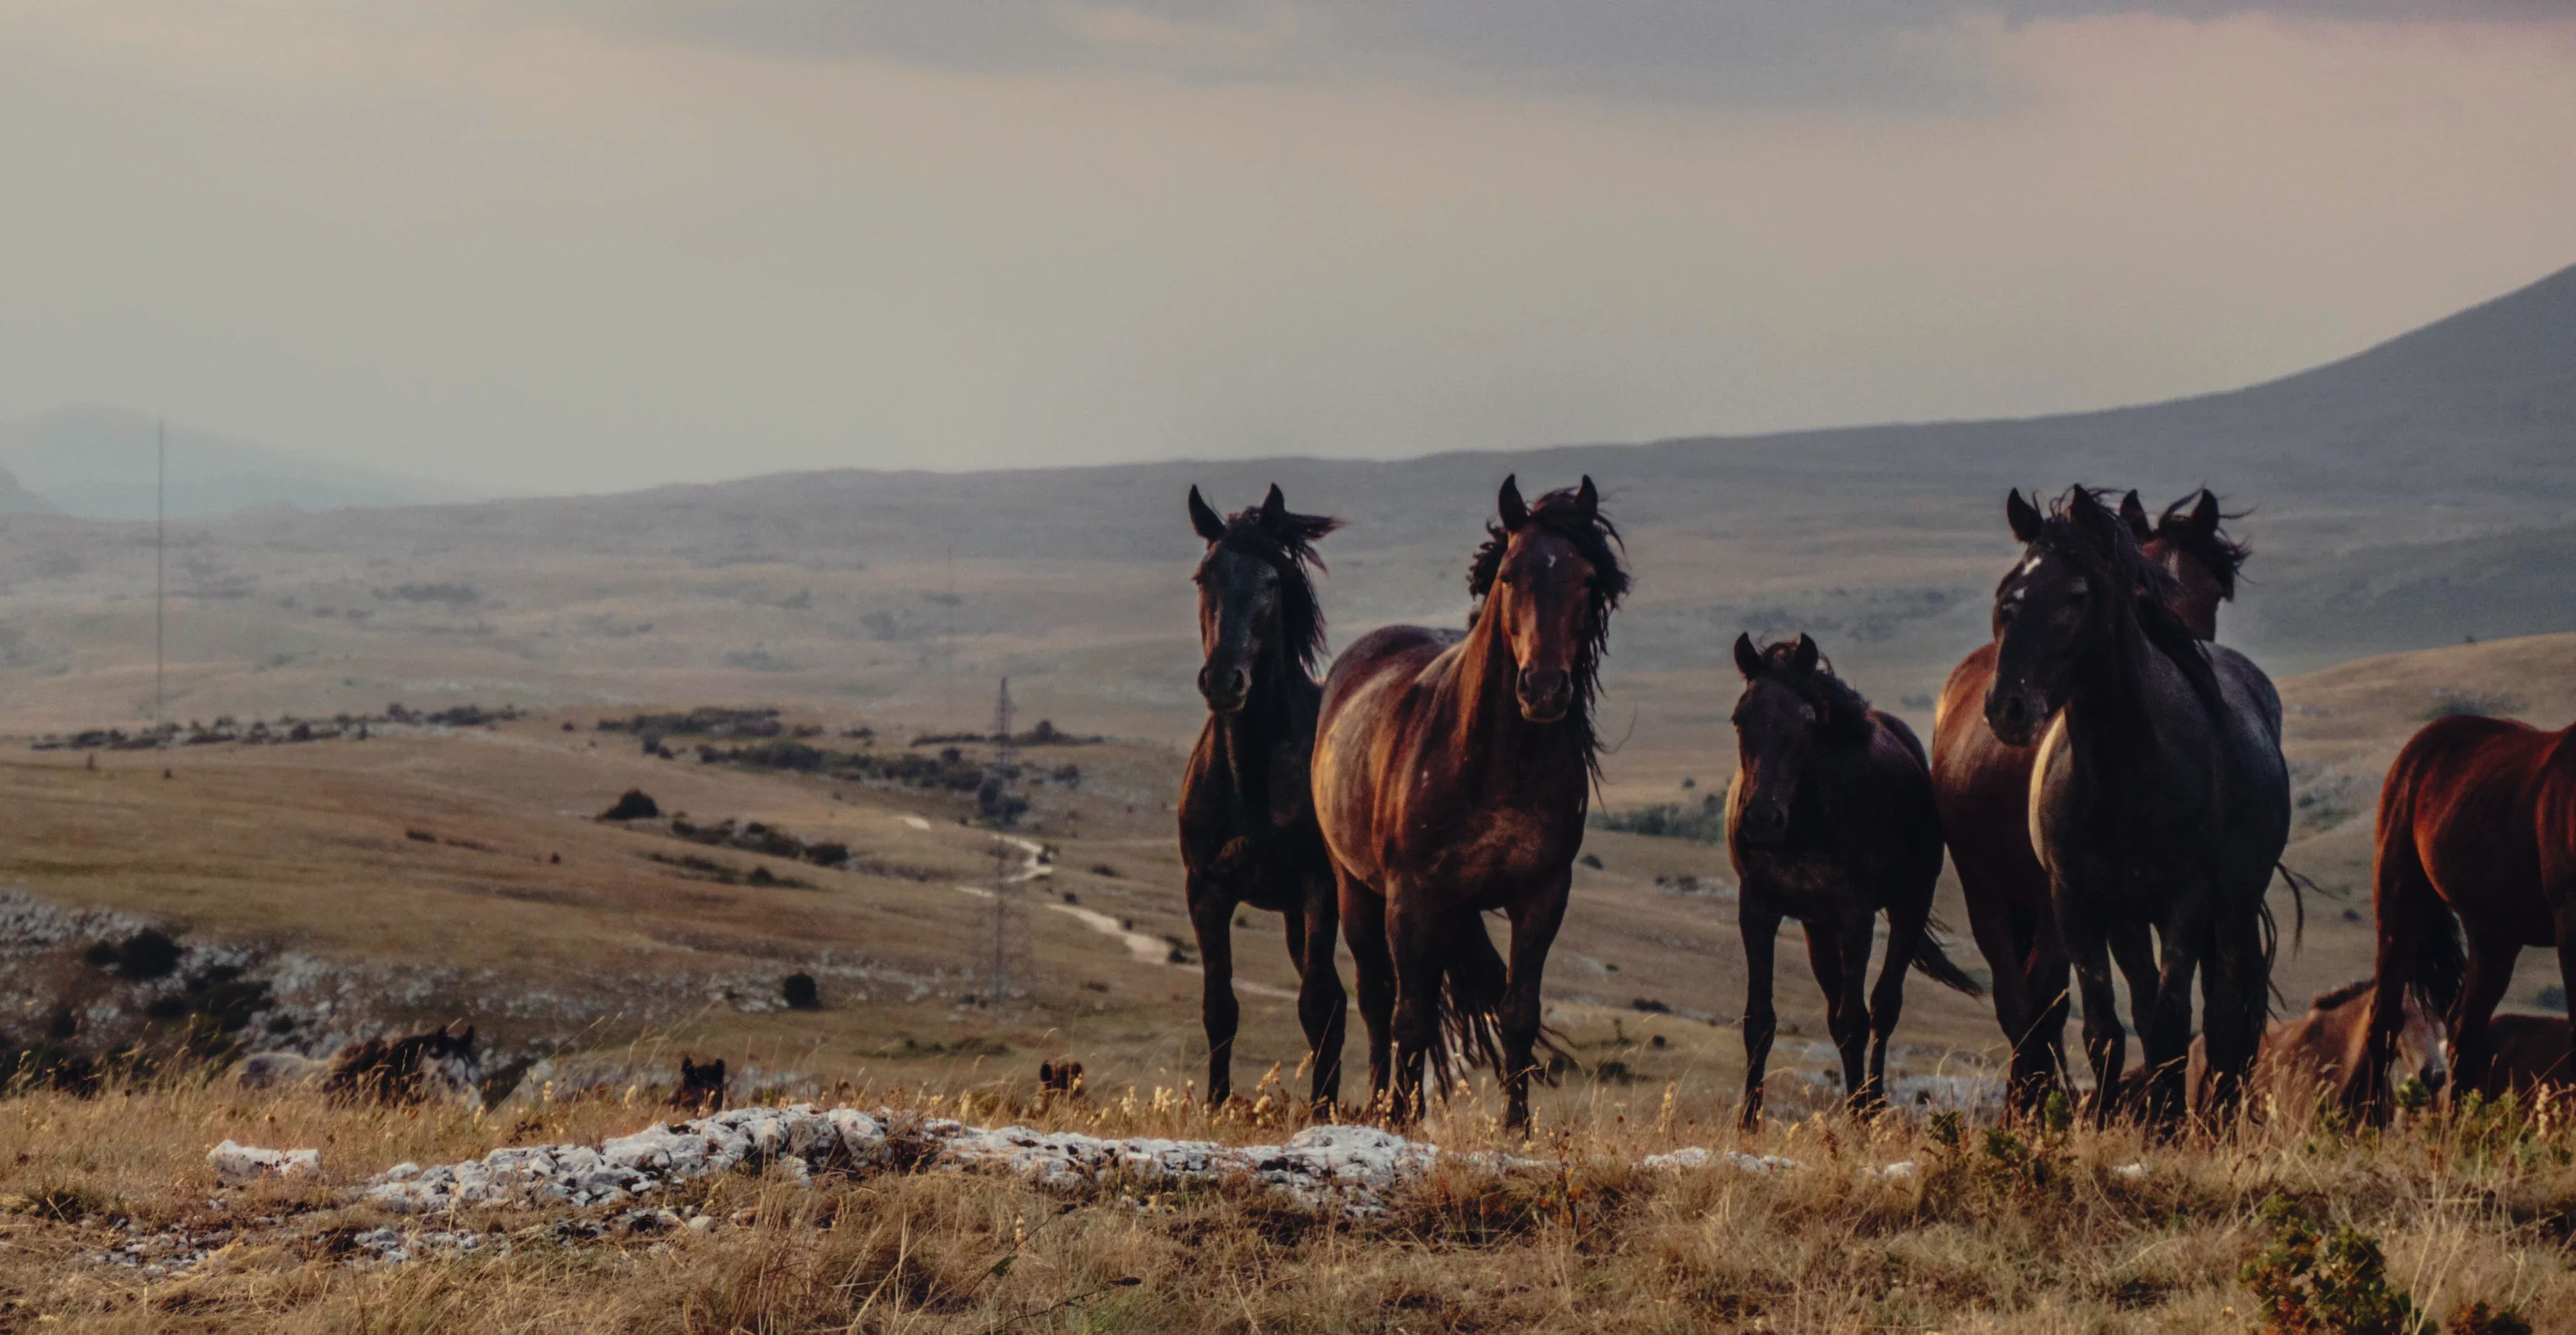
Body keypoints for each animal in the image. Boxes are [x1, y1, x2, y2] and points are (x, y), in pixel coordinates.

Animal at [1178, 484, 1349, 1111]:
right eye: (1203, 577)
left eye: (1272, 582)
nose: (1224, 680)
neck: (1249, 777)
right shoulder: (1206, 891)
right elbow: (1219, 1007)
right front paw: (1215, 1104)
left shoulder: (1319, 888)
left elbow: (1315, 1003)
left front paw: (1323, 1115)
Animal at [1313, 475, 1625, 1130]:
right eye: (1508, 574)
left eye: (1588, 579)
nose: (1544, 689)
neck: (1495, 763)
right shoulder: (1411, 895)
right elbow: (1407, 1014)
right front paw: (1399, 1118)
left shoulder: (1542, 894)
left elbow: (1518, 1010)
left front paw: (1517, 1125)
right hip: (1356, 888)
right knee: (1378, 997)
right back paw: (1380, 1102)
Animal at [1726, 633, 1982, 1125]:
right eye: (1739, 717)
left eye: (1807, 723)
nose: (1762, 820)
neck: (1806, 819)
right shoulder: (1758, 910)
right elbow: (1759, 1020)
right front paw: (1747, 1122)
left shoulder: (1856, 916)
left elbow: (1855, 1020)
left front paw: (1861, 1119)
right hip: (1817, 928)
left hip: (1907, 907)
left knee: (1882, 1008)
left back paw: (1873, 1105)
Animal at [2346, 708, 2576, 1116]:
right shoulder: (2569, 923)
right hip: (2401, 908)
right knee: (2385, 1021)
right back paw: (2373, 1123)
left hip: (2494, 936)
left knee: (2464, 1027)